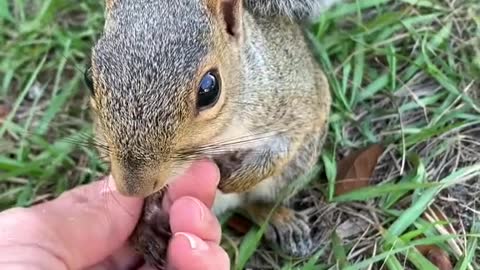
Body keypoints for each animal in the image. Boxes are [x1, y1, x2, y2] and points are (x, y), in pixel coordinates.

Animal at [84, 0, 336, 266]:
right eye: (89, 78)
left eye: (209, 89)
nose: (133, 189)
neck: (218, 135)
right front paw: (146, 218)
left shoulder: (295, 102)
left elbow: (285, 145)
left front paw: (233, 178)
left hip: (297, 168)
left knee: (255, 202)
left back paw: (280, 219)